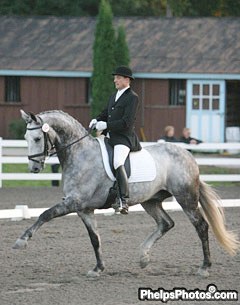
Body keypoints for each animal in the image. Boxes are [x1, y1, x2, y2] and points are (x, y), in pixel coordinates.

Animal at [14, 109, 239, 276]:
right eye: (25, 137)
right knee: (166, 223)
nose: (34, 168)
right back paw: (143, 257)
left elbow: (45, 214)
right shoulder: (84, 209)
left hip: (186, 198)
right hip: (151, 201)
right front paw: (98, 268)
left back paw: (204, 267)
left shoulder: (73, 202)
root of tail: (188, 155)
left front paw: (21, 241)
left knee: (201, 226)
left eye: (37, 138)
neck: (80, 155)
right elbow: (94, 238)